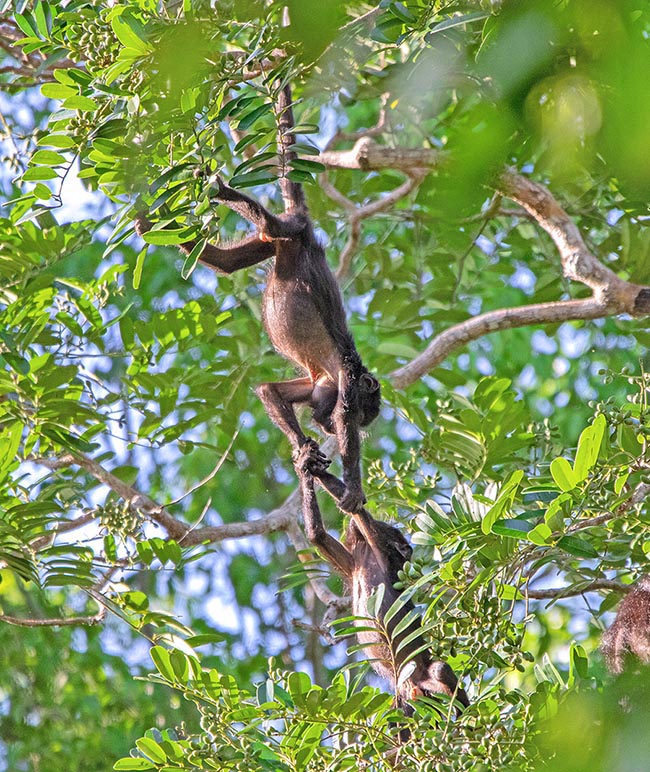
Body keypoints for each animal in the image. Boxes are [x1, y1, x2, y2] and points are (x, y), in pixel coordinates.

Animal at [134, 84, 378, 516]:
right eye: (366, 413)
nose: (325, 427)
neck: (333, 376)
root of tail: (307, 234)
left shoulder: (317, 386)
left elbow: (269, 391)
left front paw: (305, 448)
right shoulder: (348, 382)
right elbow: (346, 431)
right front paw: (348, 483)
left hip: (278, 244)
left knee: (233, 261)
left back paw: (160, 230)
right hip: (294, 230)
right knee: (269, 223)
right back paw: (219, 191)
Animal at [296, 462, 468, 716]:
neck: (366, 560)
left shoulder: (379, 549)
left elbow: (361, 518)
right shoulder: (352, 564)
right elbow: (317, 535)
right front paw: (309, 466)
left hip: (423, 679)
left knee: (439, 670)